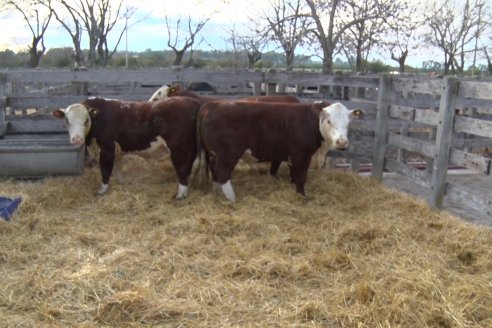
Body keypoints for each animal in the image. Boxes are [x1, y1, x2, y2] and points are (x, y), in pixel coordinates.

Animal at [52, 97, 200, 199]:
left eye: (86, 120)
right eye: (67, 120)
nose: (77, 139)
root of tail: (192, 101)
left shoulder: (107, 149)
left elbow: (105, 170)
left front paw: (102, 190)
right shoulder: (117, 152)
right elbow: (118, 170)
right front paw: (120, 183)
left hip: (179, 148)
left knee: (182, 168)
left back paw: (180, 195)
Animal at [198, 101, 364, 201]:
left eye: (348, 123)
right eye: (329, 121)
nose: (342, 142)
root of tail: (214, 104)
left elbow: (293, 175)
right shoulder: (301, 155)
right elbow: (301, 177)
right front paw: (302, 196)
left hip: (215, 154)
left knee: (214, 170)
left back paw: (217, 191)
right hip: (228, 155)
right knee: (222, 172)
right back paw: (232, 198)